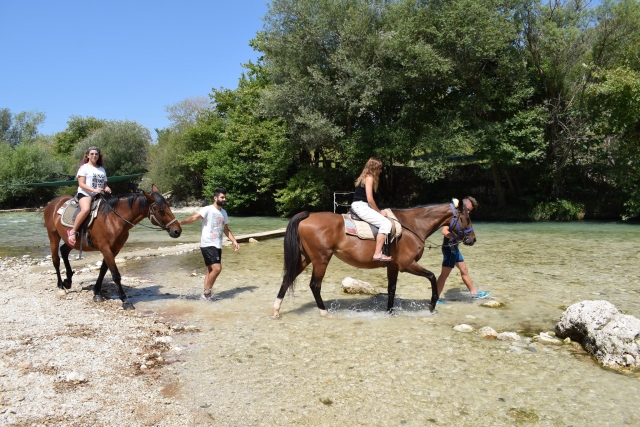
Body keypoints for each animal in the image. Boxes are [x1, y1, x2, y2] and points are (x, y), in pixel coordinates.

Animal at [43, 185, 182, 310]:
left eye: (168, 206)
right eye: (161, 210)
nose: (177, 231)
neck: (113, 219)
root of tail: (52, 203)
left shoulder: (114, 249)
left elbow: (104, 270)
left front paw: (97, 293)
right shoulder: (106, 248)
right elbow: (115, 275)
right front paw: (125, 301)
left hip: (72, 241)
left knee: (64, 251)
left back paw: (68, 281)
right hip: (53, 236)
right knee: (56, 260)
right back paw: (61, 286)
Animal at [273, 199, 476, 317]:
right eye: (467, 218)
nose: (472, 239)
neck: (413, 225)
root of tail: (308, 216)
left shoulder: (393, 266)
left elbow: (392, 288)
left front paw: (390, 311)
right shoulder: (407, 264)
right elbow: (433, 277)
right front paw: (432, 305)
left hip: (306, 258)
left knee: (287, 278)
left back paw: (276, 309)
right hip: (321, 259)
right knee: (315, 285)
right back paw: (323, 312)